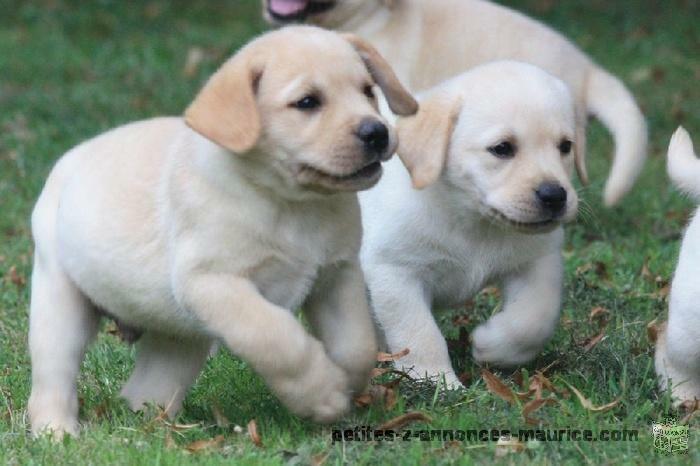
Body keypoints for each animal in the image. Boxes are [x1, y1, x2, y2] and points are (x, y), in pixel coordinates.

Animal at [28, 26, 416, 440]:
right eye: (307, 102)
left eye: (368, 91)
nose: (377, 132)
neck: (289, 203)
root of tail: (70, 158)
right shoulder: (213, 282)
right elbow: (277, 337)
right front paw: (322, 394)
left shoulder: (336, 276)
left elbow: (356, 345)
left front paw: (347, 384)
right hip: (59, 304)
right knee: (53, 379)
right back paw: (57, 433)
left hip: (179, 338)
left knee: (145, 391)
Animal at [358, 62, 576, 390]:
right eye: (502, 148)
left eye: (565, 146)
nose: (555, 196)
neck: (472, 219)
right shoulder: (394, 272)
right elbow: (420, 332)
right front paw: (436, 380)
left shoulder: (538, 261)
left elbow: (534, 317)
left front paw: (493, 345)